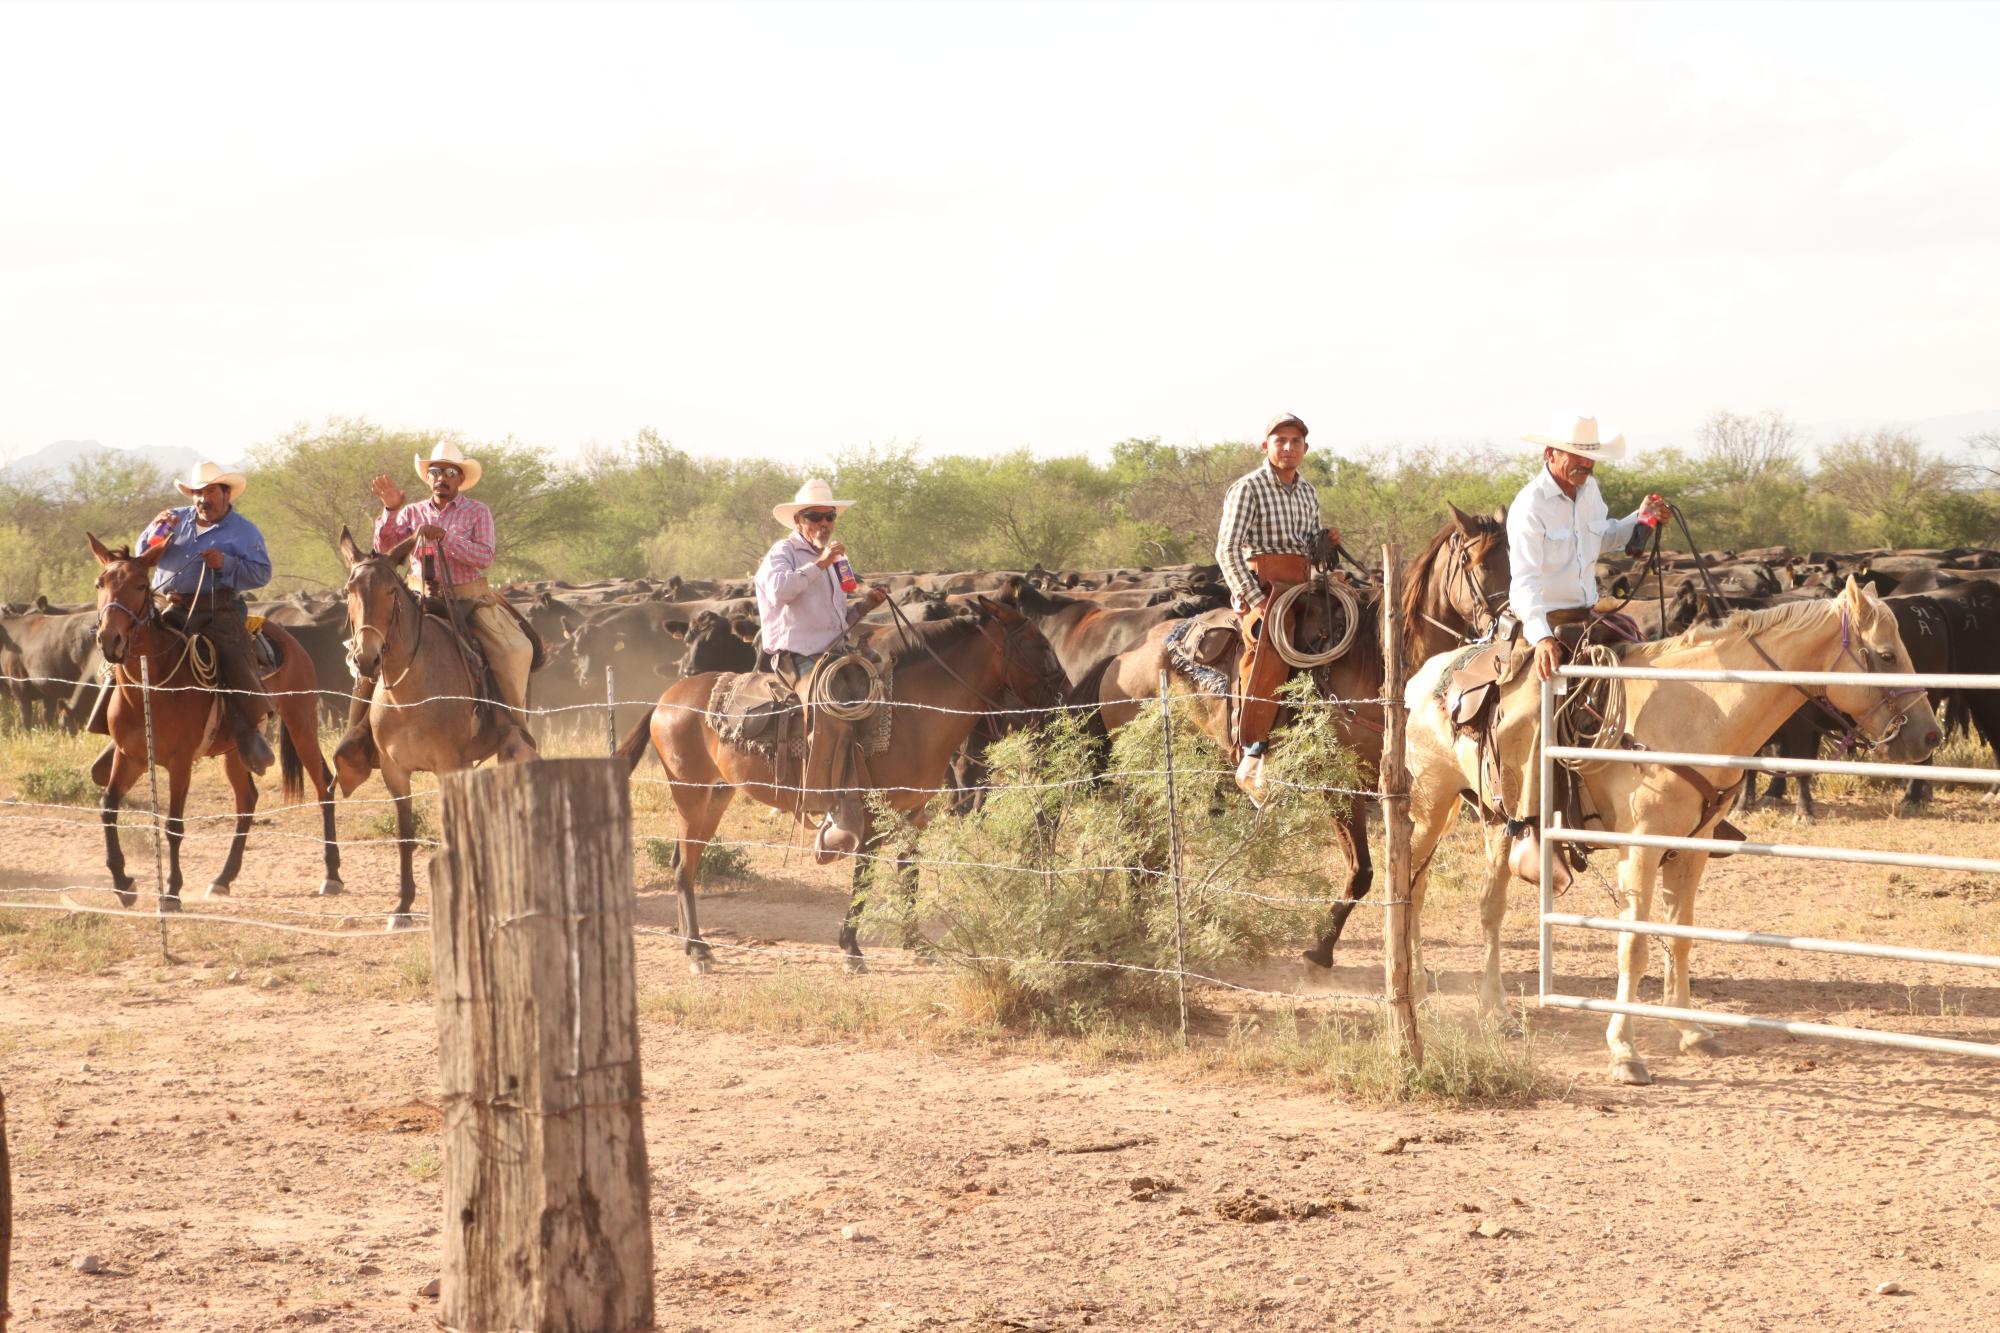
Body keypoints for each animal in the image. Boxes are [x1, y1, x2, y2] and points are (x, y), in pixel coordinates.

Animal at [85, 528, 344, 904]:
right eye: (99, 583)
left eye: (139, 585)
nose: (110, 638)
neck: (150, 686)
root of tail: (286, 636)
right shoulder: (129, 756)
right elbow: (108, 807)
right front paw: (123, 883)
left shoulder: (180, 762)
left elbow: (173, 825)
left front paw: (172, 892)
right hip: (236, 750)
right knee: (247, 800)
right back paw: (224, 878)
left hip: (302, 724)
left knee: (323, 785)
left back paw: (332, 874)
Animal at [338, 524, 540, 920]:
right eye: (347, 592)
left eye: (390, 591)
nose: (366, 658)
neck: (410, 698)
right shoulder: (395, 771)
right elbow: (405, 834)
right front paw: (402, 905)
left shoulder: (449, 766)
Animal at [616, 596, 1072, 972]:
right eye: (1039, 646)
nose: (1067, 694)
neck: (908, 714)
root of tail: (665, 699)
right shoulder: (866, 816)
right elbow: (863, 878)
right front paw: (851, 948)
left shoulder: (914, 814)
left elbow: (909, 873)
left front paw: (916, 943)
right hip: (690, 797)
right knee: (682, 868)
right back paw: (696, 949)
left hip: (715, 797)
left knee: (684, 863)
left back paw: (695, 945)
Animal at [1400, 576, 1944, 1088]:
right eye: (1887, 654)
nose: (1930, 735)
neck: (1693, 713)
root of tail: (1431, 673)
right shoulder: (1640, 848)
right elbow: (1634, 946)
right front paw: (1625, 1051)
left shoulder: (1691, 849)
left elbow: (1680, 938)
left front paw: (1690, 1030)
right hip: (1432, 802)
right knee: (1414, 884)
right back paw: (1418, 986)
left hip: (1498, 820)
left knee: (1489, 906)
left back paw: (1491, 1004)